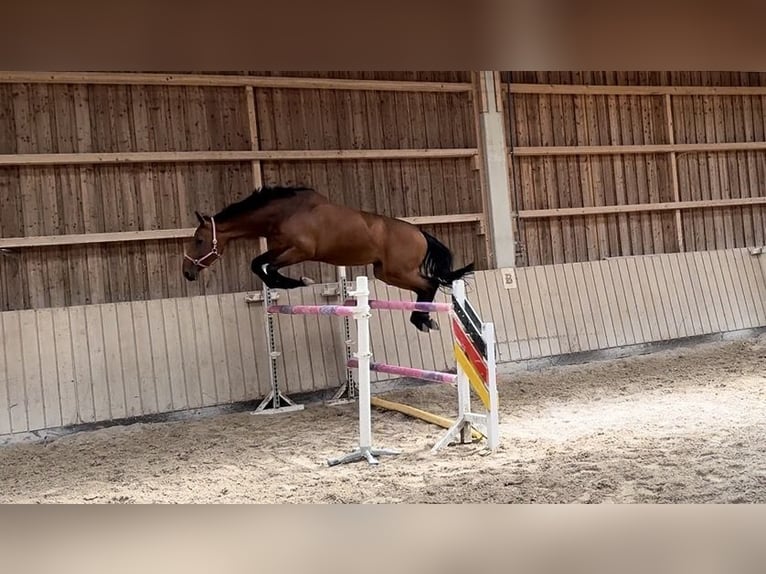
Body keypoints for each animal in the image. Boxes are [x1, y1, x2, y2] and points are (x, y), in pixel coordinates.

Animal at [182, 186, 474, 332]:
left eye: (199, 240)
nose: (187, 272)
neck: (285, 212)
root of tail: (420, 233)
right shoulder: (280, 248)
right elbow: (258, 264)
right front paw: (289, 283)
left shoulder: (299, 251)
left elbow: (267, 268)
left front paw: (298, 281)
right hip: (386, 273)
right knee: (426, 286)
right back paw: (421, 320)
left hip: (398, 272)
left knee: (430, 284)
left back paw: (423, 321)